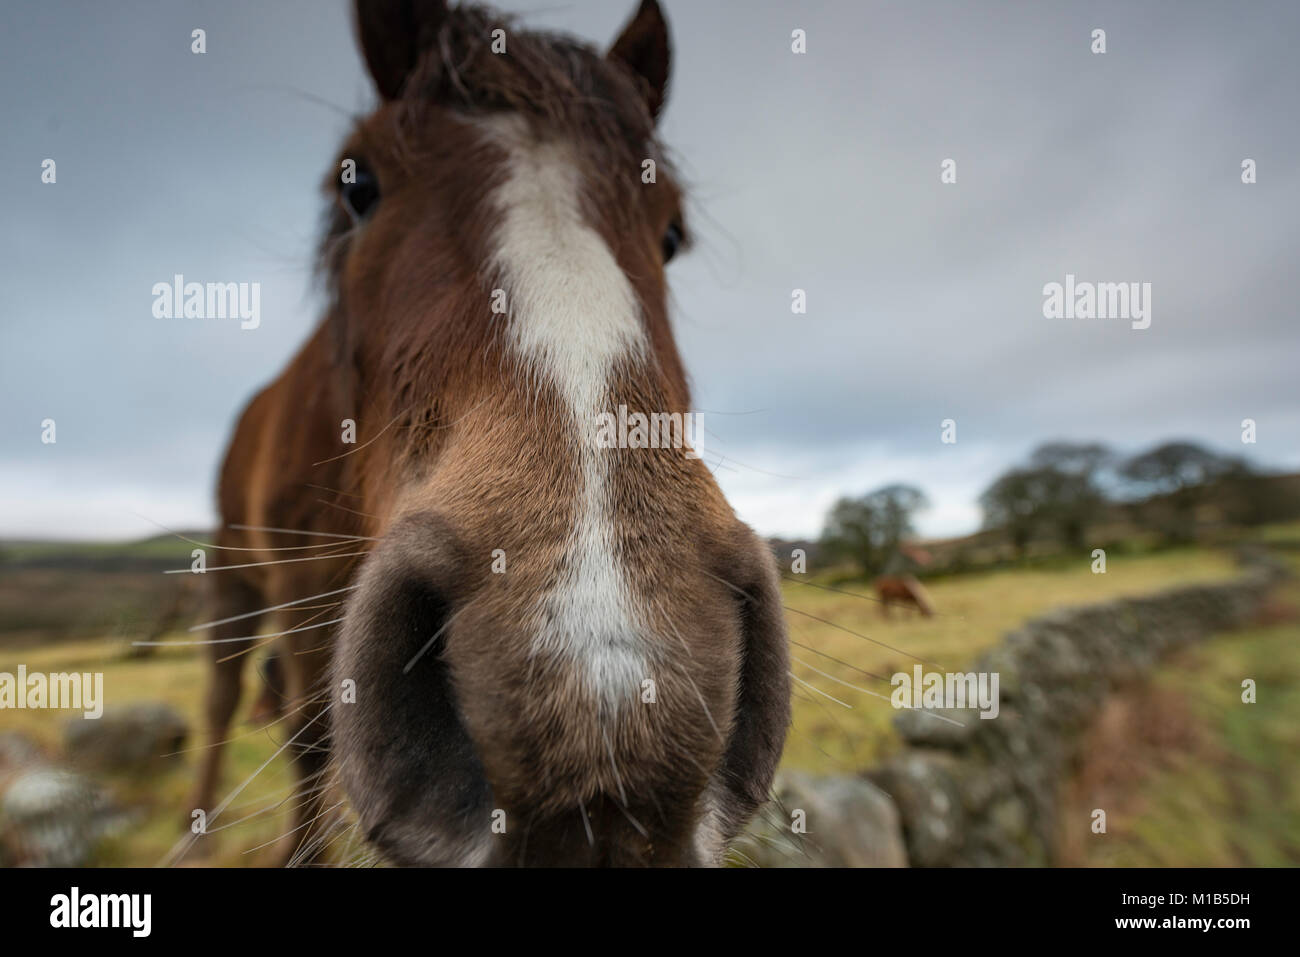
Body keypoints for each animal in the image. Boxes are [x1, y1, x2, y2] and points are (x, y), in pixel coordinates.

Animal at [187, 0, 791, 867]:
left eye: (672, 233)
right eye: (357, 184)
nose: (605, 703)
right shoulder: (300, 586)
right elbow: (306, 736)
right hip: (236, 571)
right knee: (224, 689)